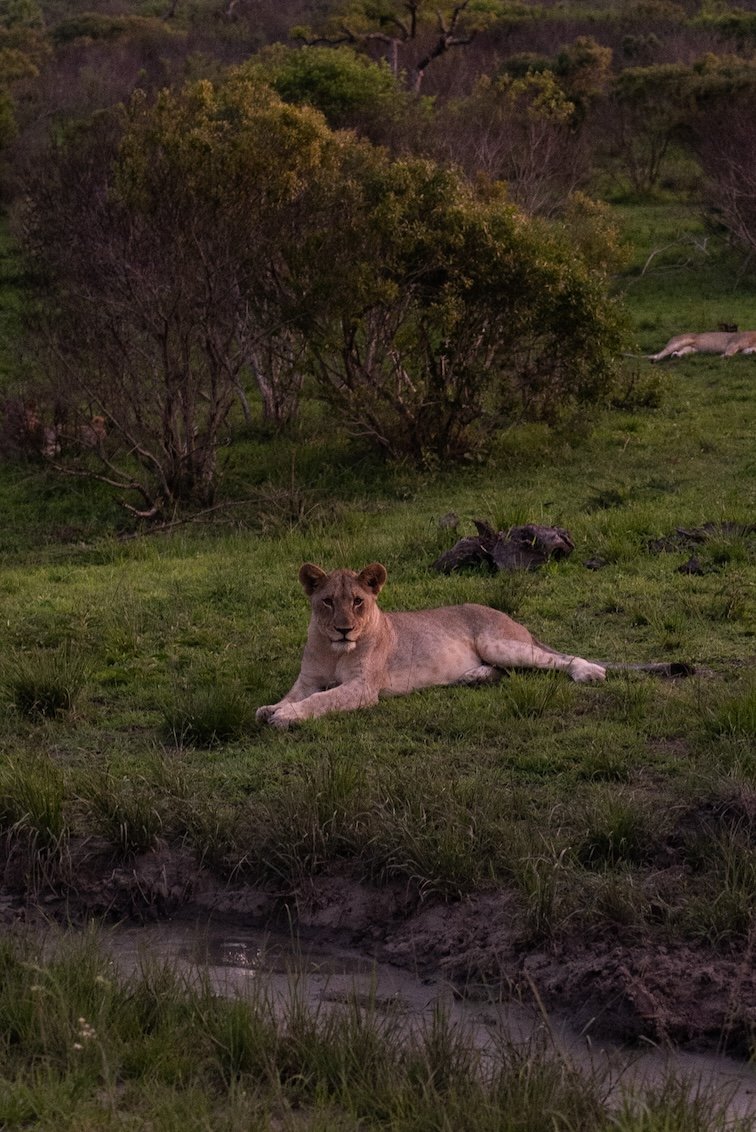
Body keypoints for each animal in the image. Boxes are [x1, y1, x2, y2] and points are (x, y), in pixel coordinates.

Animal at [256, 561, 606, 729]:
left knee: (556, 658)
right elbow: (293, 695)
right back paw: (472, 677)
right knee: (505, 671)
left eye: (357, 601)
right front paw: (271, 708)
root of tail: (507, 615)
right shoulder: (308, 680)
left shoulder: (363, 687)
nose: (344, 630)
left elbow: (322, 700)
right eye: (327, 601)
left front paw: (286, 716)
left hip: (498, 644)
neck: (333, 650)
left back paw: (588, 671)